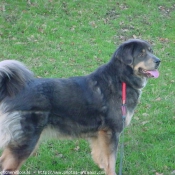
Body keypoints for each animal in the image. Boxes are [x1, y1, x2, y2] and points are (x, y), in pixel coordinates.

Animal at [0, 39, 160, 175]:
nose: (159, 61)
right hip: (26, 141)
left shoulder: (99, 134)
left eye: (150, 51)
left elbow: (100, 156)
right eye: (141, 53)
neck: (121, 79)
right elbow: (111, 160)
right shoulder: (111, 132)